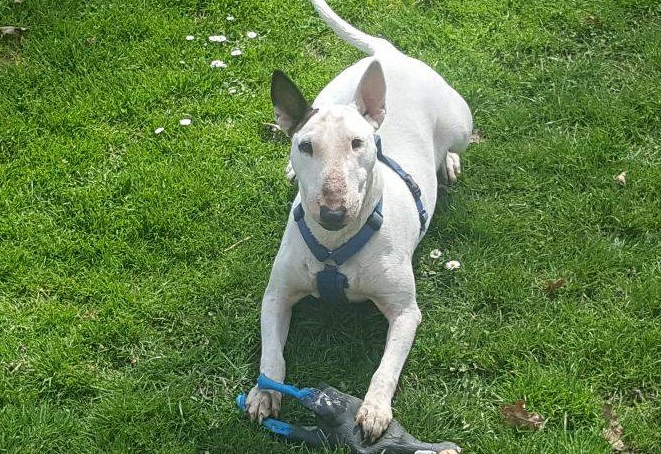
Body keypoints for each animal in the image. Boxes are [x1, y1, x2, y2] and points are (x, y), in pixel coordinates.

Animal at [245, 0, 472, 442]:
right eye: (305, 146)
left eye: (358, 143)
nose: (333, 213)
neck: (336, 248)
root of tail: (390, 55)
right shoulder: (276, 295)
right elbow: (271, 353)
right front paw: (265, 392)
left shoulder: (406, 312)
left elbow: (387, 367)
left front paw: (375, 411)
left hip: (461, 125)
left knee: (456, 144)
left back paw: (448, 162)